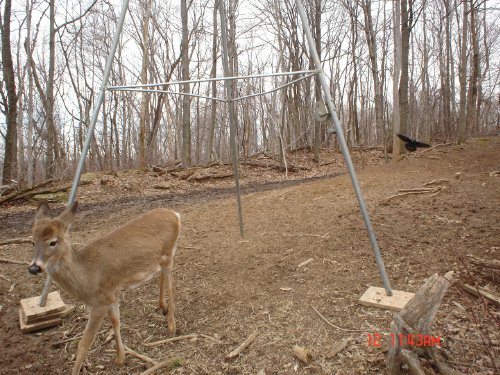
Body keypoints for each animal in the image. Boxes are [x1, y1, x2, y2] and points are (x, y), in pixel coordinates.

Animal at [27, 203, 182, 375]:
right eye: (32, 242)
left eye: (53, 242)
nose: (34, 267)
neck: (86, 277)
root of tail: (175, 215)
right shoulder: (111, 295)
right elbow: (116, 321)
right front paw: (120, 358)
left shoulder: (98, 303)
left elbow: (84, 343)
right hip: (160, 259)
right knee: (162, 276)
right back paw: (162, 307)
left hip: (168, 254)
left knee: (171, 284)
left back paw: (171, 325)